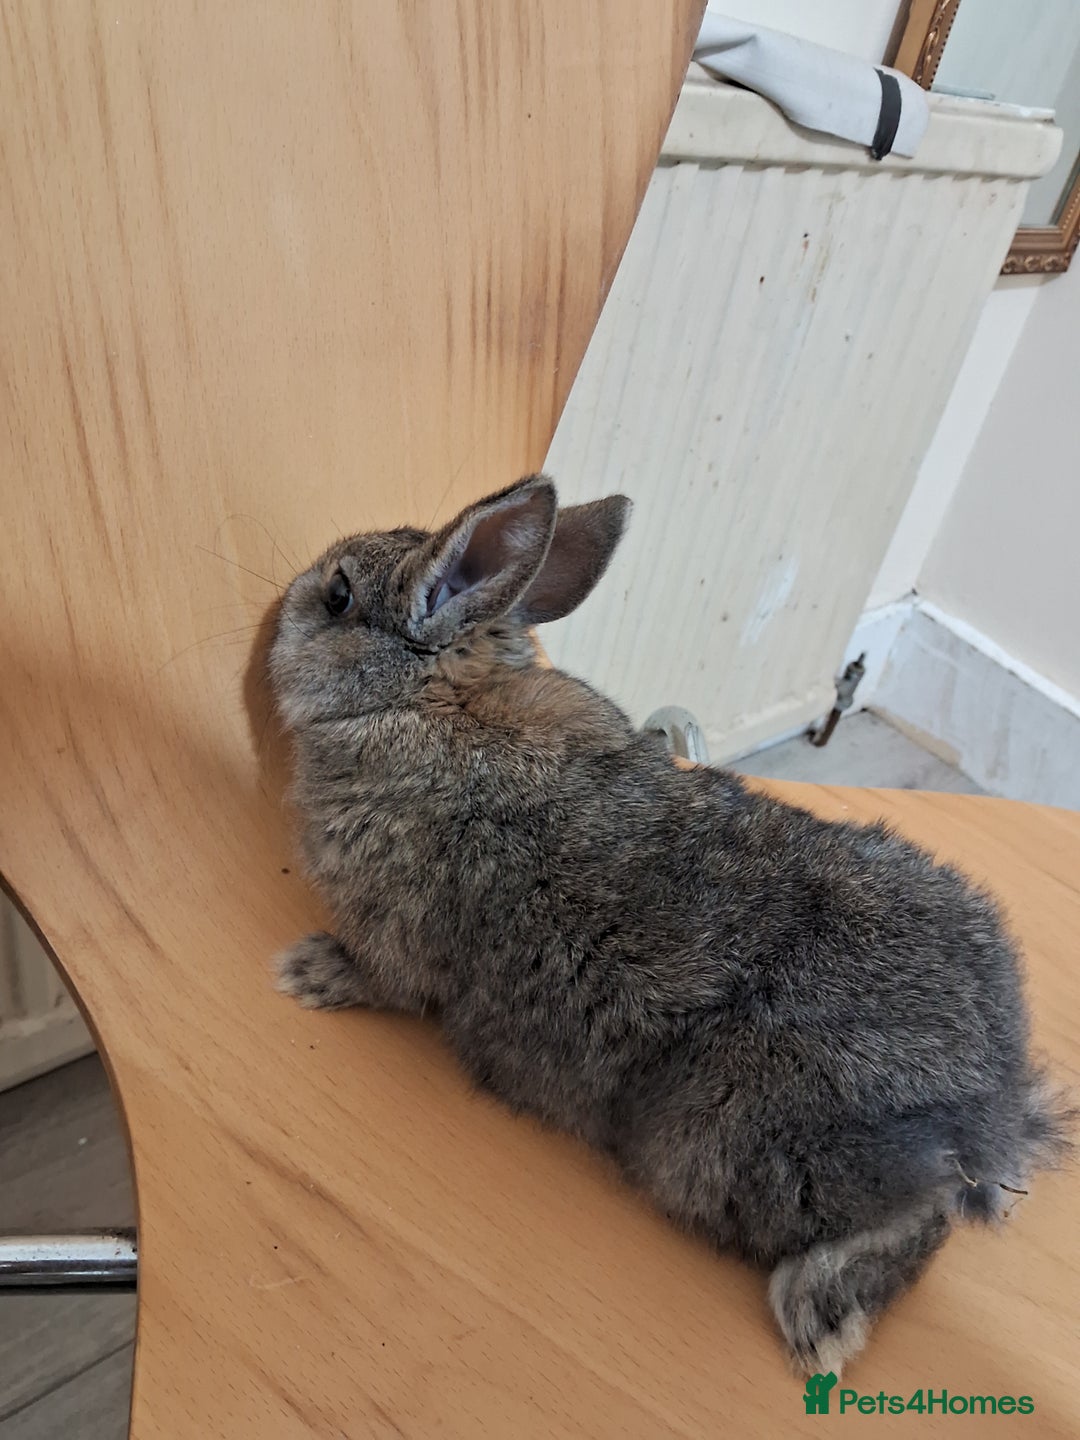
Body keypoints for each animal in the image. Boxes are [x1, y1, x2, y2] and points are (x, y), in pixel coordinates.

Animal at [269, 474, 1069, 1376]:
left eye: (338, 596)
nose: (285, 601)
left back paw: (820, 1316)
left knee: (917, 1219)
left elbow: (382, 976)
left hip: (724, 1147)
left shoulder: (396, 927)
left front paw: (308, 971)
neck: (430, 699)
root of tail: (991, 1098)